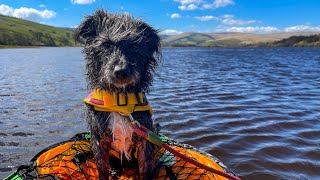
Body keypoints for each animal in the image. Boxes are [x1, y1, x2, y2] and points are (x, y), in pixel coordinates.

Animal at [74, 10, 161, 180]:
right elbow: (102, 170)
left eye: (134, 46)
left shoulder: (144, 139)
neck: (119, 100)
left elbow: (145, 169)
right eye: (106, 45)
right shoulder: (99, 140)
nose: (121, 71)